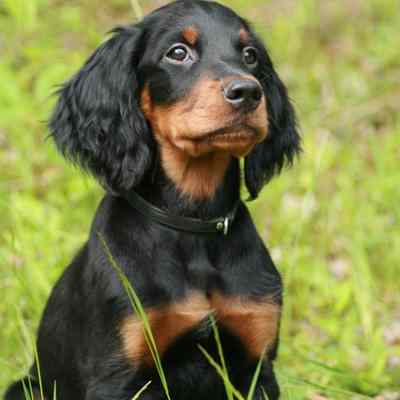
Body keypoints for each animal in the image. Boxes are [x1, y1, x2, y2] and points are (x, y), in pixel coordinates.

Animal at [4, 0, 298, 400]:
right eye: (178, 53)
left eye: (250, 56)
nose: (249, 92)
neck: (193, 225)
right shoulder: (117, 374)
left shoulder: (256, 363)